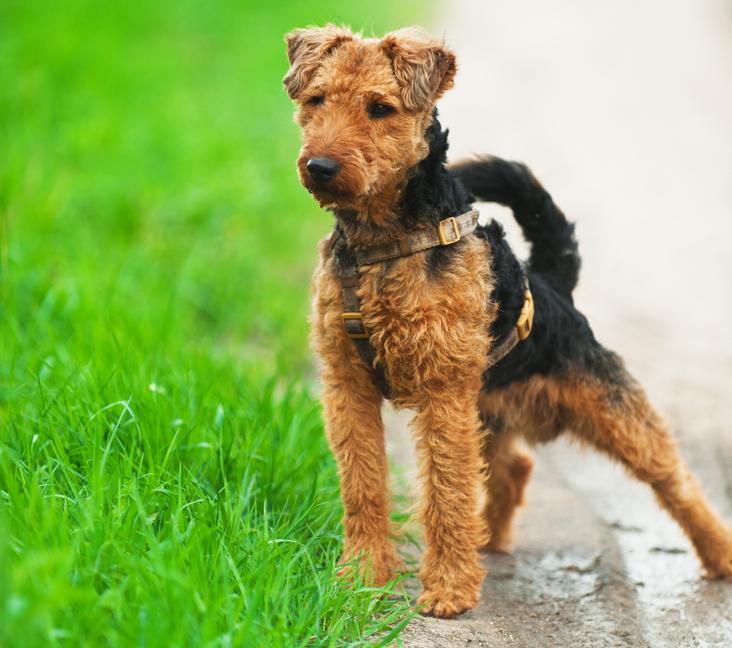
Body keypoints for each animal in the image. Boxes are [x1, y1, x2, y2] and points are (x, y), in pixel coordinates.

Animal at [282, 21, 732, 616]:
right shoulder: (347, 382)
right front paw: (361, 577)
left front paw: (448, 590)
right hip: (487, 402)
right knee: (513, 468)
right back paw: (487, 539)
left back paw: (720, 555)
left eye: (379, 107)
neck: (382, 243)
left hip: (608, 406)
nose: (321, 168)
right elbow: (363, 484)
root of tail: (553, 282)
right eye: (316, 100)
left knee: (675, 478)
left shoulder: (442, 389)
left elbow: (446, 489)